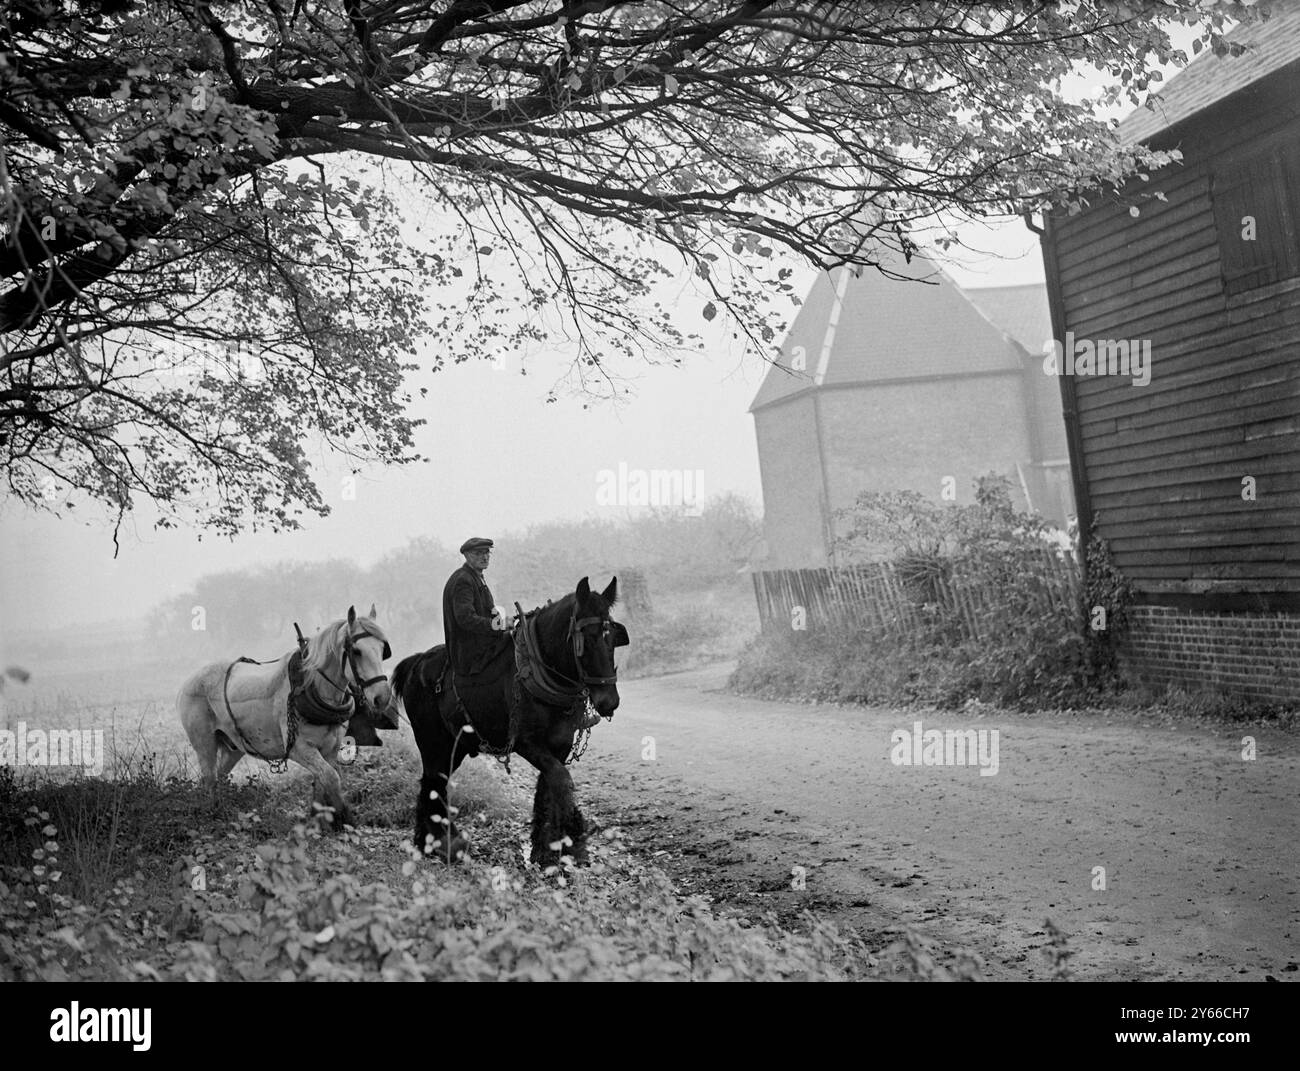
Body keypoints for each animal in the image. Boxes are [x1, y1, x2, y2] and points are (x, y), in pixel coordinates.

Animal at [175, 603, 392, 826]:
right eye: (356, 651)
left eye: (382, 649)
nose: (382, 697)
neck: (313, 687)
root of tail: (189, 681)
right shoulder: (299, 748)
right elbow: (332, 777)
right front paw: (345, 820)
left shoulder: (329, 750)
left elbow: (323, 782)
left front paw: (319, 822)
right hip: (204, 744)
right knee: (209, 779)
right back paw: (212, 813)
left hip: (233, 747)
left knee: (220, 776)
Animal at [390, 577, 629, 868]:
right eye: (588, 639)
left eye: (612, 638)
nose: (609, 701)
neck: (539, 670)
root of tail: (416, 663)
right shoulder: (526, 743)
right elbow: (561, 781)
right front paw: (573, 841)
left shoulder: (560, 744)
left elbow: (548, 786)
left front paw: (546, 850)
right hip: (433, 742)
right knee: (435, 783)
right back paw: (447, 844)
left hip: (454, 746)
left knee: (430, 782)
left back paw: (426, 843)